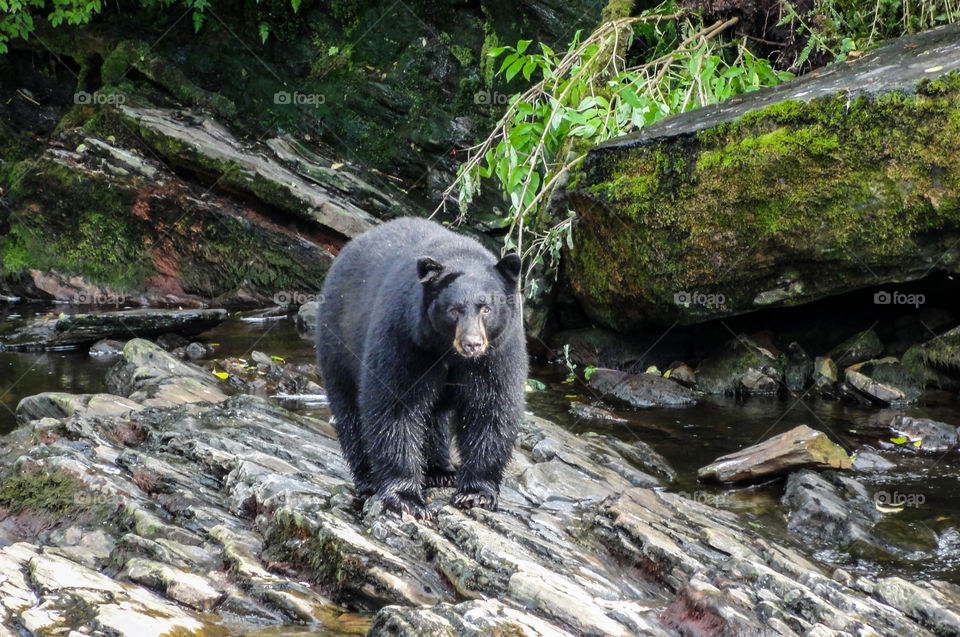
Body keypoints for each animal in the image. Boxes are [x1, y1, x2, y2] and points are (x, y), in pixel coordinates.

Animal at [316, 216, 524, 520]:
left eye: (486, 308)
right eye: (453, 309)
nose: (472, 344)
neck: (448, 351)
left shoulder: (497, 351)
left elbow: (490, 406)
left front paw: (476, 493)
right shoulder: (406, 337)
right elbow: (396, 404)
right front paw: (407, 498)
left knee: (434, 418)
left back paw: (440, 470)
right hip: (338, 341)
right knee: (349, 408)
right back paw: (369, 479)